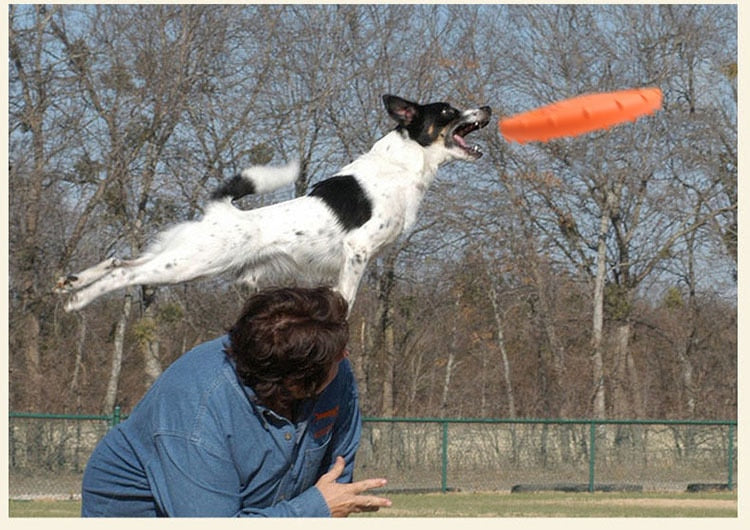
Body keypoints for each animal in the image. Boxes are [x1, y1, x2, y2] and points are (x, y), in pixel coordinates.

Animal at [57, 94, 494, 310]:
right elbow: (346, 298)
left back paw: (70, 282)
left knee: (121, 260)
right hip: (192, 263)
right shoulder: (357, 249)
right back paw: (78, 299)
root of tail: (221, 209)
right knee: (124, 275)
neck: (406, 163)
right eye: (448, 110)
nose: (488, 107)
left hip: (182, 255)